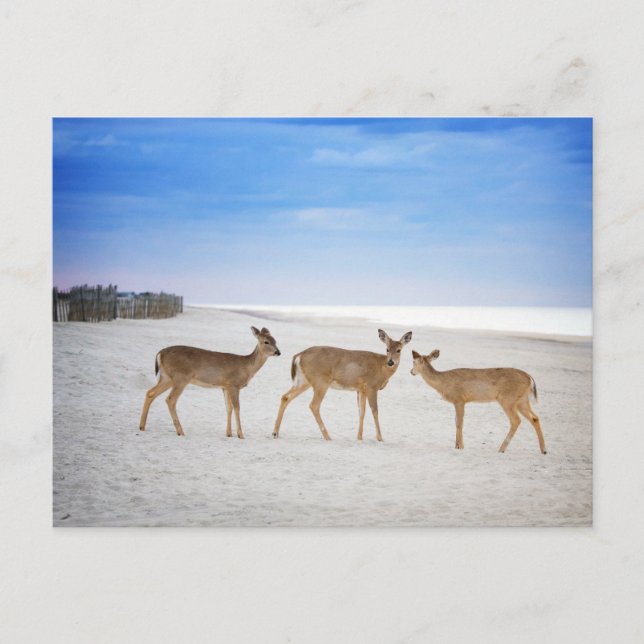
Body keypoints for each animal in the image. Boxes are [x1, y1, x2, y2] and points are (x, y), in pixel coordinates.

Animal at [139, 326, 281, 438]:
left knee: (150, 393)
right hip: (181, 377)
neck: (247, 367)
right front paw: (240, 434)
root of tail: (160, 353)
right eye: (266, 342)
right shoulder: (234, 384)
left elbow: (228, 408)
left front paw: (229, 433)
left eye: (276, 341)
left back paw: (142, 426)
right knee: (170, 399)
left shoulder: (225, 386)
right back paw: (180, 431)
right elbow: (237, 408)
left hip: (167, 377)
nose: (278, 352)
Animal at [272, 329, 413, 441]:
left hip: (303, 381)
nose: (391, 362)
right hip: (320, 381)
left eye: (399, 350)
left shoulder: (361, 389)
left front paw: (359, 437)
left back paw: (275, 432)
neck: (381, 367)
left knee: (285, 397)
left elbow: (362, 412)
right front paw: (380, 438)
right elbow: (375, 411)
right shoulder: (372, 386)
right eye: (387, 349)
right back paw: (327, 436)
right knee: (314, 405)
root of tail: (299, 355)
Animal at [410, 349, 546, 454]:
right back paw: (543, 450)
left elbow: (459, 423)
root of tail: (530, 379)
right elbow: (456, 422)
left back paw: (501, 449)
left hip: (507, 399)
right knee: (535, 418)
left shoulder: (459, 399)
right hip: (522, 400)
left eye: (414, 362)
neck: (443, 383)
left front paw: (460, 446)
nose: (411, 372)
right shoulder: (459, 401)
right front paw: (457, 445)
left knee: (516, 420)